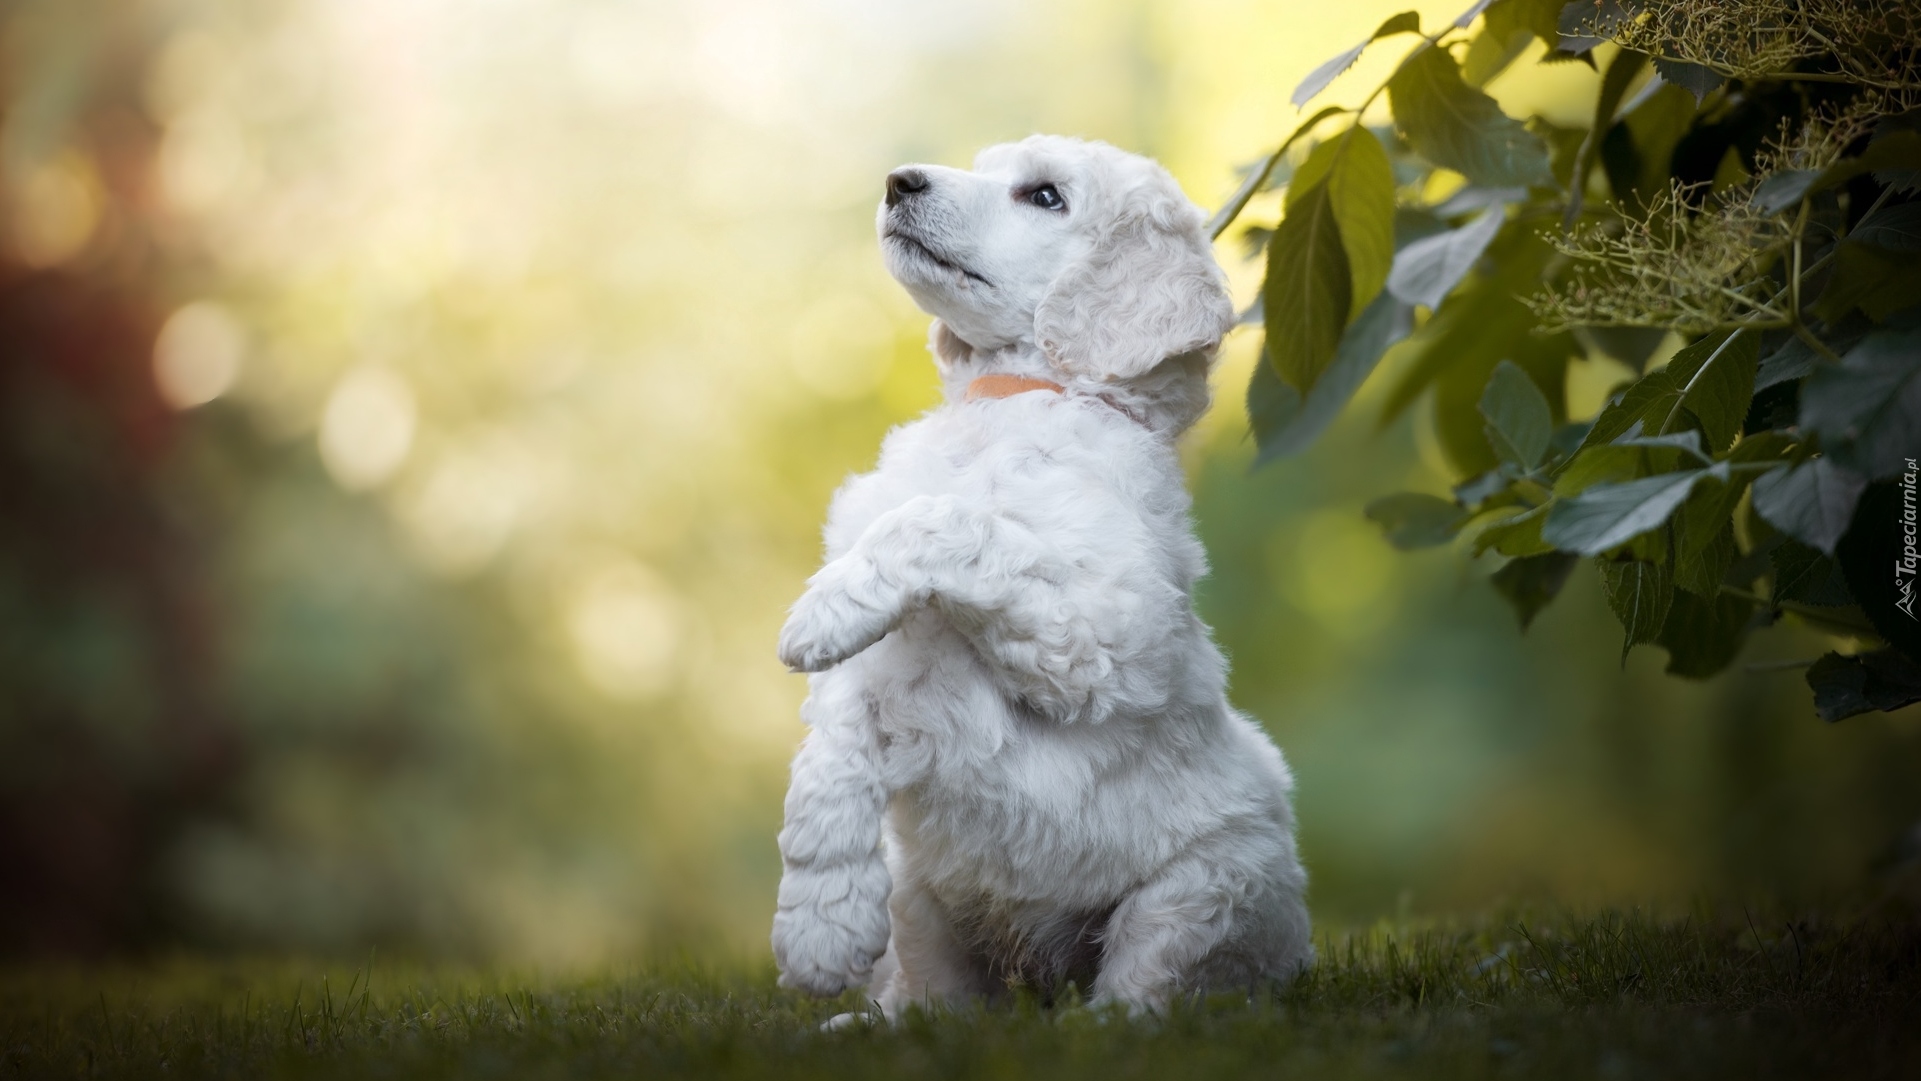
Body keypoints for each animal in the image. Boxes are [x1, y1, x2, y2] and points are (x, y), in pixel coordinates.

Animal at [772, 133, 1313, 1013]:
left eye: (1046, 196)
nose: (898, 181)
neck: (1011, 400)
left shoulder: (1107, 634)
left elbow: (955, 520)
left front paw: (817, 613)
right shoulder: (865, 678)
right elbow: (825, 763)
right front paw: (820, 928)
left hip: (1211, 883)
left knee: (1146, 987)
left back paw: (1099, 1024)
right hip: (923, 905)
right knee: (935, 1000)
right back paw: (872, 1020)